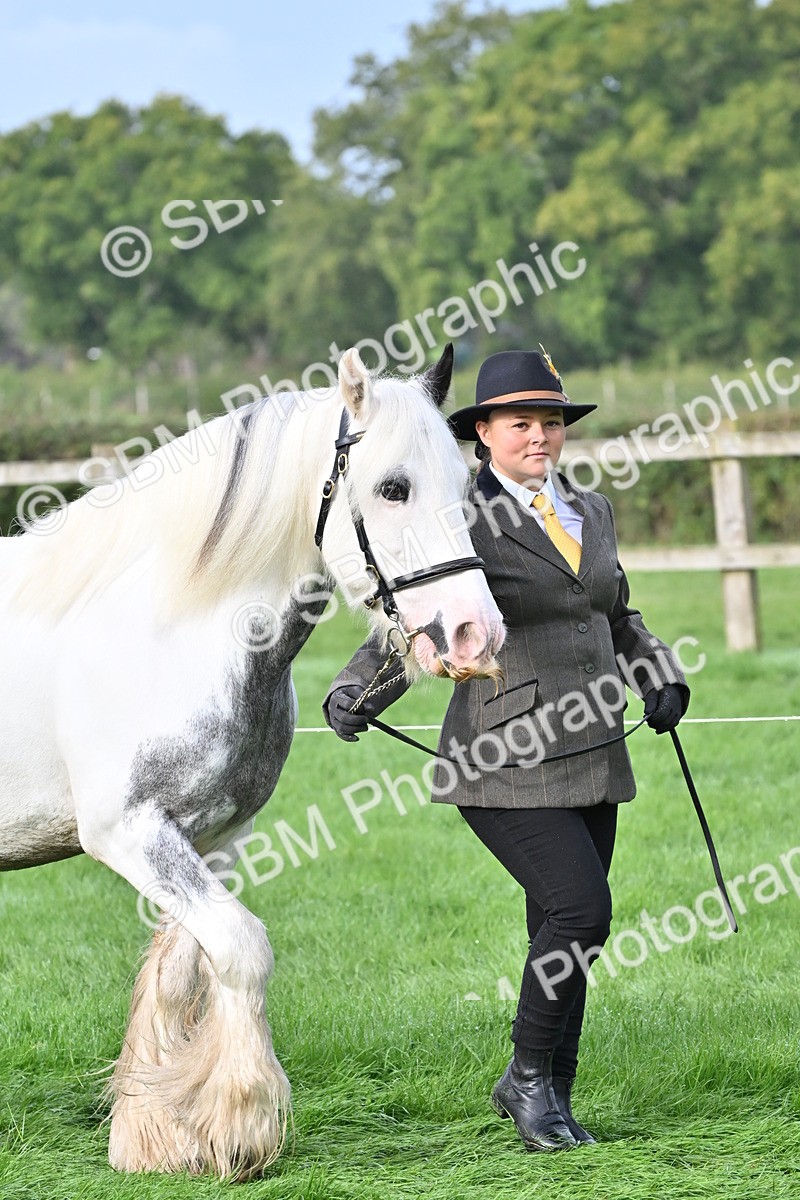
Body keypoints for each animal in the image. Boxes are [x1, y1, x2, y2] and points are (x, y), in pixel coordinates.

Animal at [0, 344, 504, 1179]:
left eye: (466, 489)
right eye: (393, 487)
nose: (474, 635)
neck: (171, 622)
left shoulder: (213, 834)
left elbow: (186, 969)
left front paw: (157, 1134)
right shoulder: (130, 833)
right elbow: (242, 949)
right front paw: (239, 1127)